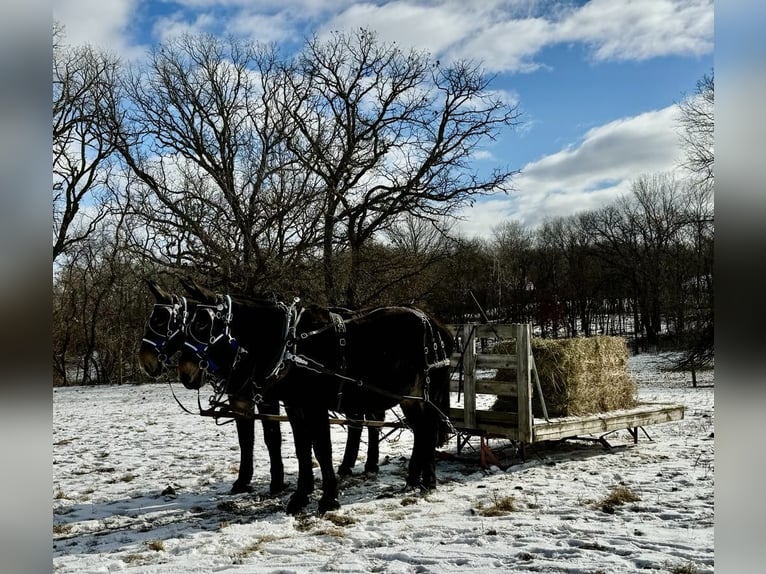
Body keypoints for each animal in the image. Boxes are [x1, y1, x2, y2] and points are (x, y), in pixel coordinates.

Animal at [178, 284, 456, 516]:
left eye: (202, 323)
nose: (185, 373)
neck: (290, 343)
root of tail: (436, 324)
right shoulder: (295, 406)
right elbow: (302, 449)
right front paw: (300, 497)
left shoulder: (315, 407)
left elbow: (322, 449)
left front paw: (328, 499)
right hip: (410, 398)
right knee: (423, 431)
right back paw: (417, 480)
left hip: (419, 394)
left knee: (427, 430)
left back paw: (426, 481)